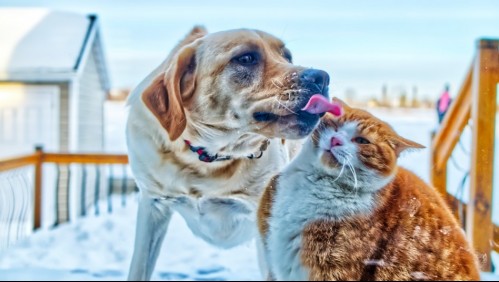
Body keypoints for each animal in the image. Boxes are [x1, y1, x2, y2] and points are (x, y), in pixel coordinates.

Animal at [124, 25, 328, 280]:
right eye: (246, 58)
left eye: (287, 56)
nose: (322, 77)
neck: (210, 160)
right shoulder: (152, 205)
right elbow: (139, 267)